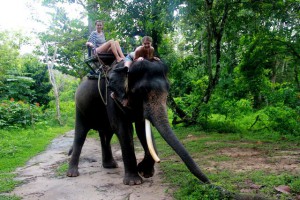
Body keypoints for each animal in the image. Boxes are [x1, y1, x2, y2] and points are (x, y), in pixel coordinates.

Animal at [66, 59, 210, 186]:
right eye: (142, 91)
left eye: (168, 90)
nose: (209, 183)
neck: (127, 66)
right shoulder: (112, 97)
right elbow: (123, 129)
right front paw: (134, 181)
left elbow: (142, 130)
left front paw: (145, 172)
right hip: (79, 108)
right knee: (80, 134)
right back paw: (72, 174)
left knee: (106, 134)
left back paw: (110, 166)